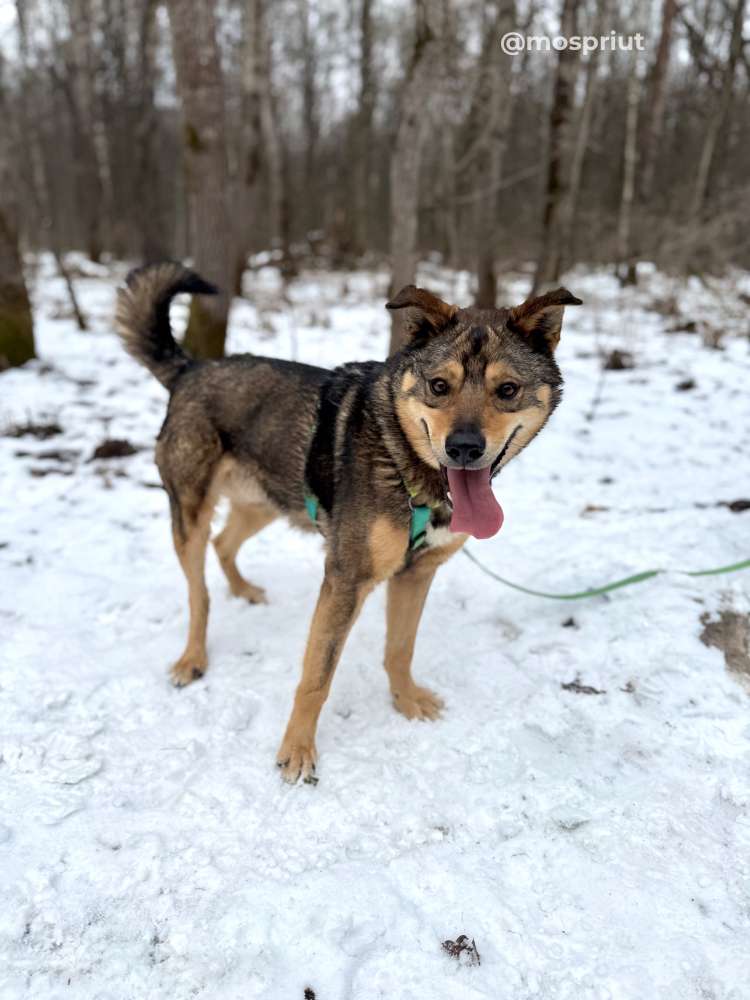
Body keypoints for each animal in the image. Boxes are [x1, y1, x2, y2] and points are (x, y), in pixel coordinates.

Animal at [116, 264, 580, 780]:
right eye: (439, 386)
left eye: (508, 390)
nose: (463, 447)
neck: (405, 465)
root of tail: (191, 369)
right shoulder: (346, 579)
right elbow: (317, 675)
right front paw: (297, 750)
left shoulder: (416, 574)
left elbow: (400, 648)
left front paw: (406, 701)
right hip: (192, 514)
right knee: (199, 593)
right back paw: (193, 657)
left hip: (266, 501)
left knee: (224, 543)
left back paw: (244, 589)